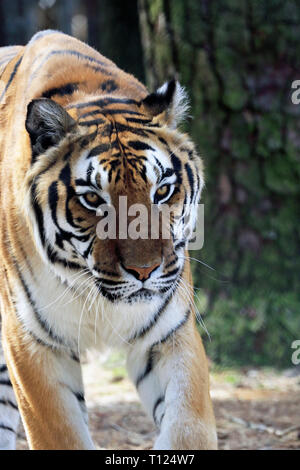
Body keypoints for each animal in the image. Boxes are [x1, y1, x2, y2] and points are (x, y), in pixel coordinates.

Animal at [0, 30, 217, 452]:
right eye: (93, 199)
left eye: (162, 191)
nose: (145, 271)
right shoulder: (31, 342)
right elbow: (62, 434)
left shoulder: (169, 331)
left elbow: (188, 427)